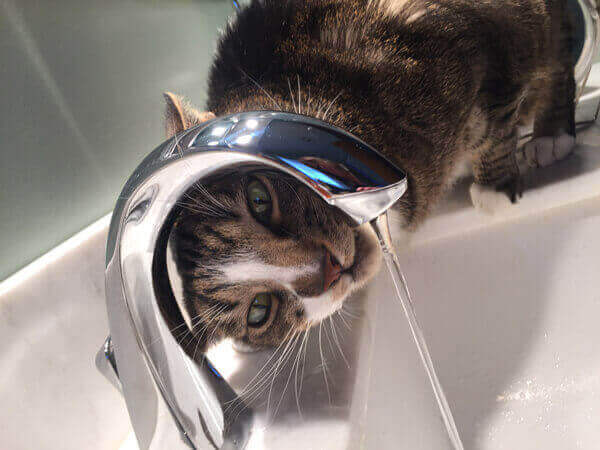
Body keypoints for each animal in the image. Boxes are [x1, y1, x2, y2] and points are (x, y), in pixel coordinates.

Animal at [162, 0, 576, 356]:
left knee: (559, 56)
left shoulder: (474, 39)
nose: (326, 270)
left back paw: (551, 136)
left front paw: (495, 190)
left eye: (259, 198)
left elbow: (493, 124)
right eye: (259, 311)